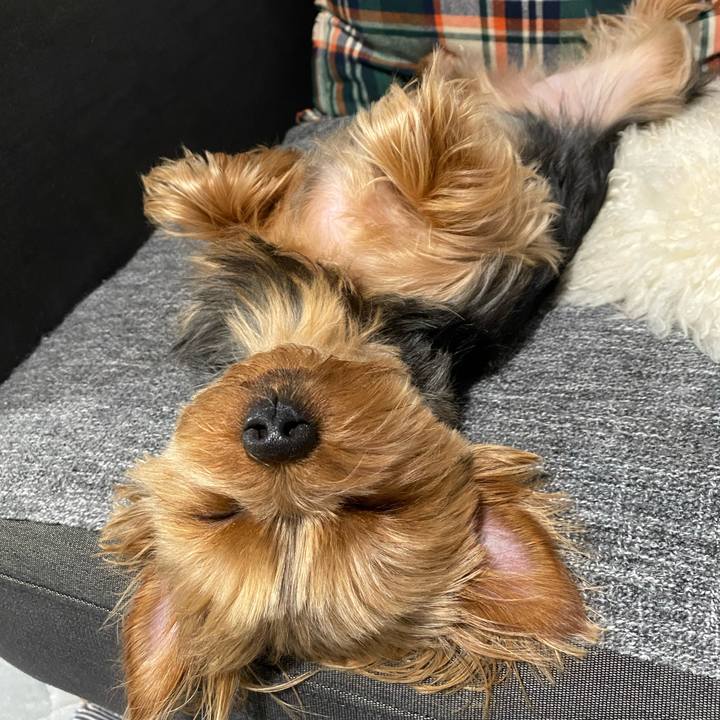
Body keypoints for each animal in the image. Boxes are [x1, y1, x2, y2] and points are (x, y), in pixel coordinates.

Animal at [101, 1, 711, 718]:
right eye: (224, 512)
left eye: (374, 505)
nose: (275, 431)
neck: (327, 313)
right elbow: (411, 202)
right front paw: (415, 131)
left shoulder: (472, 241)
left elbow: (411, 205)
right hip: (646, 77)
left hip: (641, 80)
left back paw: (443, 76)